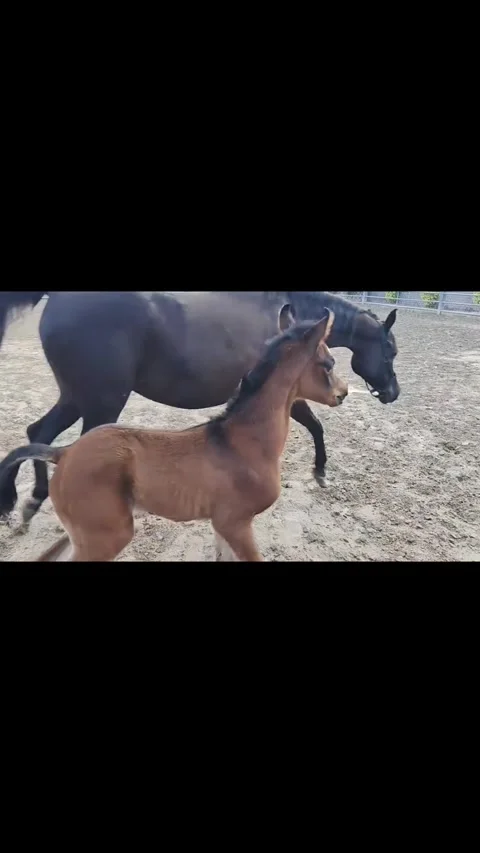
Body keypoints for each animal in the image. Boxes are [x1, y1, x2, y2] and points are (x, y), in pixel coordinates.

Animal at [0, 291, 399, 527]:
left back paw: (24, 502)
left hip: (77, 397)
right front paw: (321, 472)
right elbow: (317, 426)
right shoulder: (290, 396)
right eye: (390, 350)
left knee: (37, 433)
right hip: (100, 404)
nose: (393, 393)